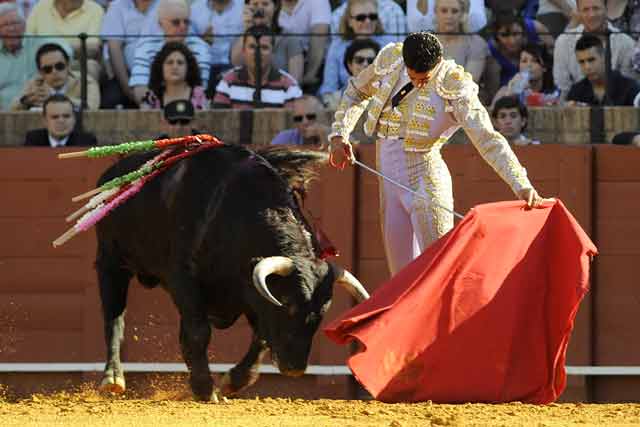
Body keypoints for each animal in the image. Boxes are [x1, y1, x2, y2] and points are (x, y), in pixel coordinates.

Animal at [92, 145, 368, 402]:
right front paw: (205, 389)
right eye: (287, 303)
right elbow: (199, 332)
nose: (295, 368)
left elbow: (261, 337)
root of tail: (111, 173)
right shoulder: (184, 279)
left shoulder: (253, 294)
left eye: (323, 313)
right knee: (114, 318)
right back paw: (113, 378)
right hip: (110, 263)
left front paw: (232, 382)